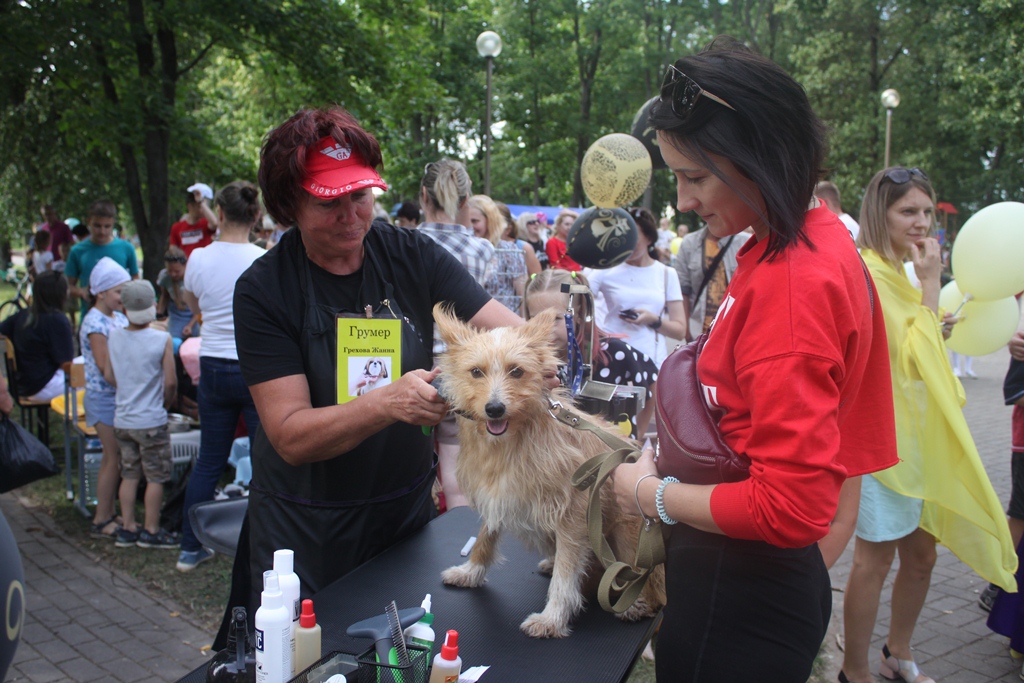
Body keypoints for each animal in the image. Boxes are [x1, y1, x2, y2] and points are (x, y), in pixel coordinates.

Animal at [432, 307, 663, 638]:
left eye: (516, 371)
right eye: (476, 372)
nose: (494, 409)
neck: (510, 442)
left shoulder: (574, 513)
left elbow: (565, 576)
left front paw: (552, 618)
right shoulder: (497, 493)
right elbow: (485, 536)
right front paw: (472, 571)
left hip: (628, 531)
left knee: (648, 582)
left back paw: (637, 603)